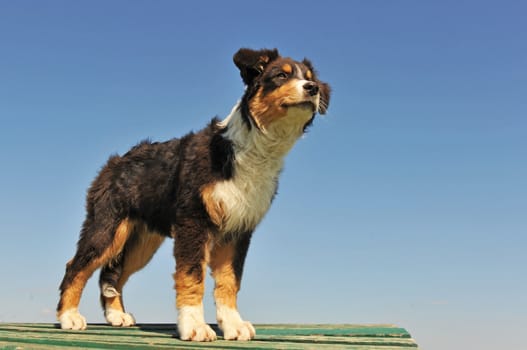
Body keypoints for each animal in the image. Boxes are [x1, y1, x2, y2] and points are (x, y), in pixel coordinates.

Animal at [56, 47, 330, 340]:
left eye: (310, 77)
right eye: (280, 75)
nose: (312, 88)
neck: (252, 150)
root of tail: (117, 161)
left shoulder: (239, 228)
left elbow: (230, 281)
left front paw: (233, 324)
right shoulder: (194, 221)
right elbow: (191, 276)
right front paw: (194, 326)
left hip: (141, 242)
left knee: (114, 272)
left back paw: (116, 315)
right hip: (106, 227)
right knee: (76, 266)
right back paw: (69, 317)